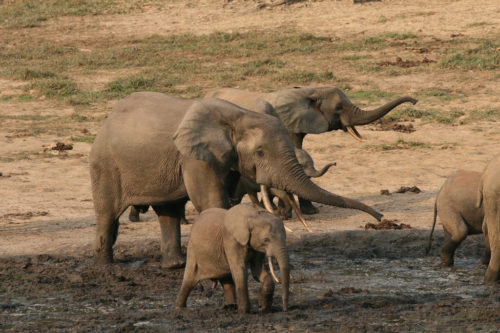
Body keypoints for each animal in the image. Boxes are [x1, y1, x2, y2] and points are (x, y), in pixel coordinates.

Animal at [90, 92, 382, 268]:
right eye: (260, 152)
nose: (379, 218)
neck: (238, 115)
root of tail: (106, 121)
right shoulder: (194, 157)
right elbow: (211, 201)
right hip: (105, 164)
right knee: (107, 214)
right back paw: (106, 266)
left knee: (169, 212)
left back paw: (176, 265)